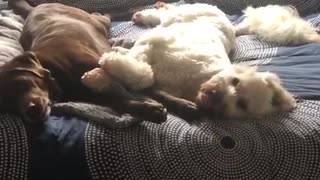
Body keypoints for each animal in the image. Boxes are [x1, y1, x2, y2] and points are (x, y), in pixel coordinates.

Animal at [0, 0, 168, 124]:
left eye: (22, 83)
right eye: (8, 105)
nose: (30, 112)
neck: (53, 70)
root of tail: (36, 8)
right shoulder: (90, 93)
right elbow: (118, 100)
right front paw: (150, 110)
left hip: (97, 21)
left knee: (105, 14)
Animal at [81, 2, 296, 119]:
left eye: (242, 104)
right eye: (235, 81)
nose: (216, 97)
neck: (195, 81)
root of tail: (231, 25)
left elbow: (145, 77)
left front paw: (109, 65)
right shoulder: (154, 42)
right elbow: (145, 74)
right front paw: (108, 64)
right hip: (181, 15)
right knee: (167, 11)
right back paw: (147, 13)